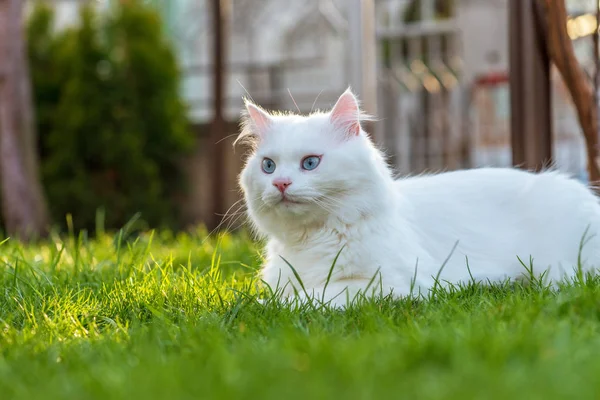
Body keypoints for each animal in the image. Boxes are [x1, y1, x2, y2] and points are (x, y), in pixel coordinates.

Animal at [237, 87, 600, 306]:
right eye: (268, 166)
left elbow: (309, 298)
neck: (310, 238)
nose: (280, 183)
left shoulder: (386, 283)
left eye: (310, 163)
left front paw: (267, 306)